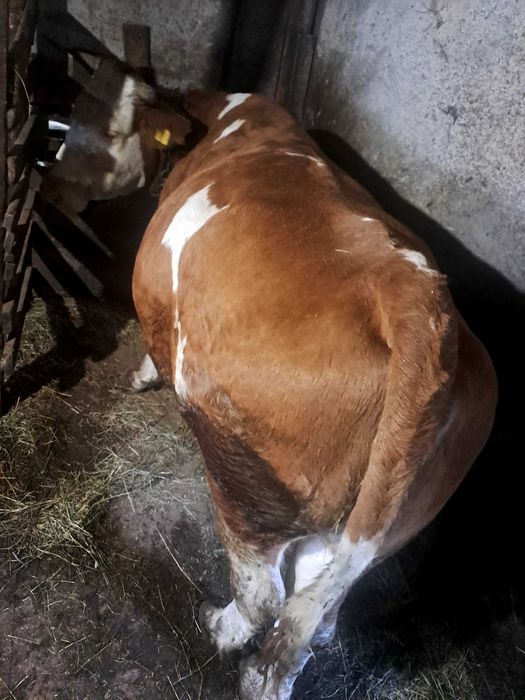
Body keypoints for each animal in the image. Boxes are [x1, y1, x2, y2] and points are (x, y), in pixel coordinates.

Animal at [131, 90, 497, 700]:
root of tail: (418, 299)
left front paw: (140, 373)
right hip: (370, 522)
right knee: (315, 610)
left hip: (243, 473)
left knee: (265, 593)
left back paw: (221, 628)